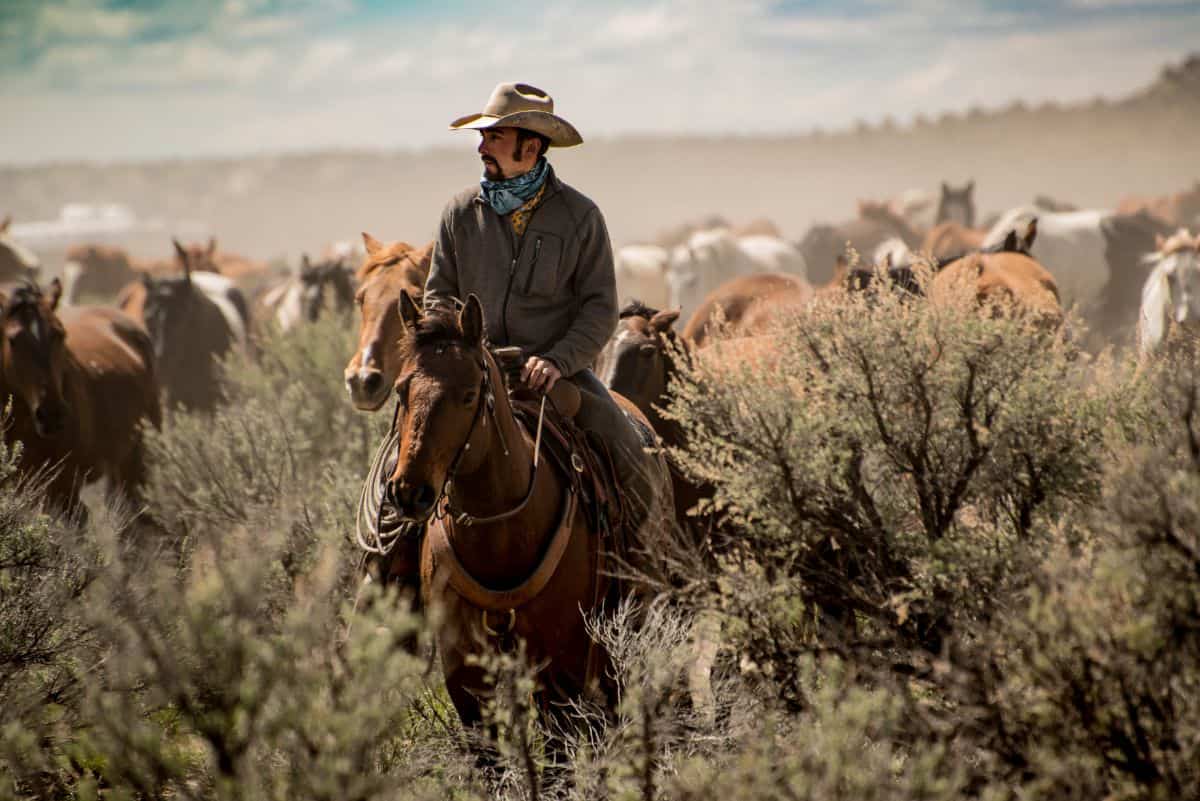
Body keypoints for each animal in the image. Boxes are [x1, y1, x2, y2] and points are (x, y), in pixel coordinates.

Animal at [388, 292, 676, 762]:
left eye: (469, 395)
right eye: (401, 389)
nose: (409, 492)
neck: (500, 536)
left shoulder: (560, 664)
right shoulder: (465, 674)